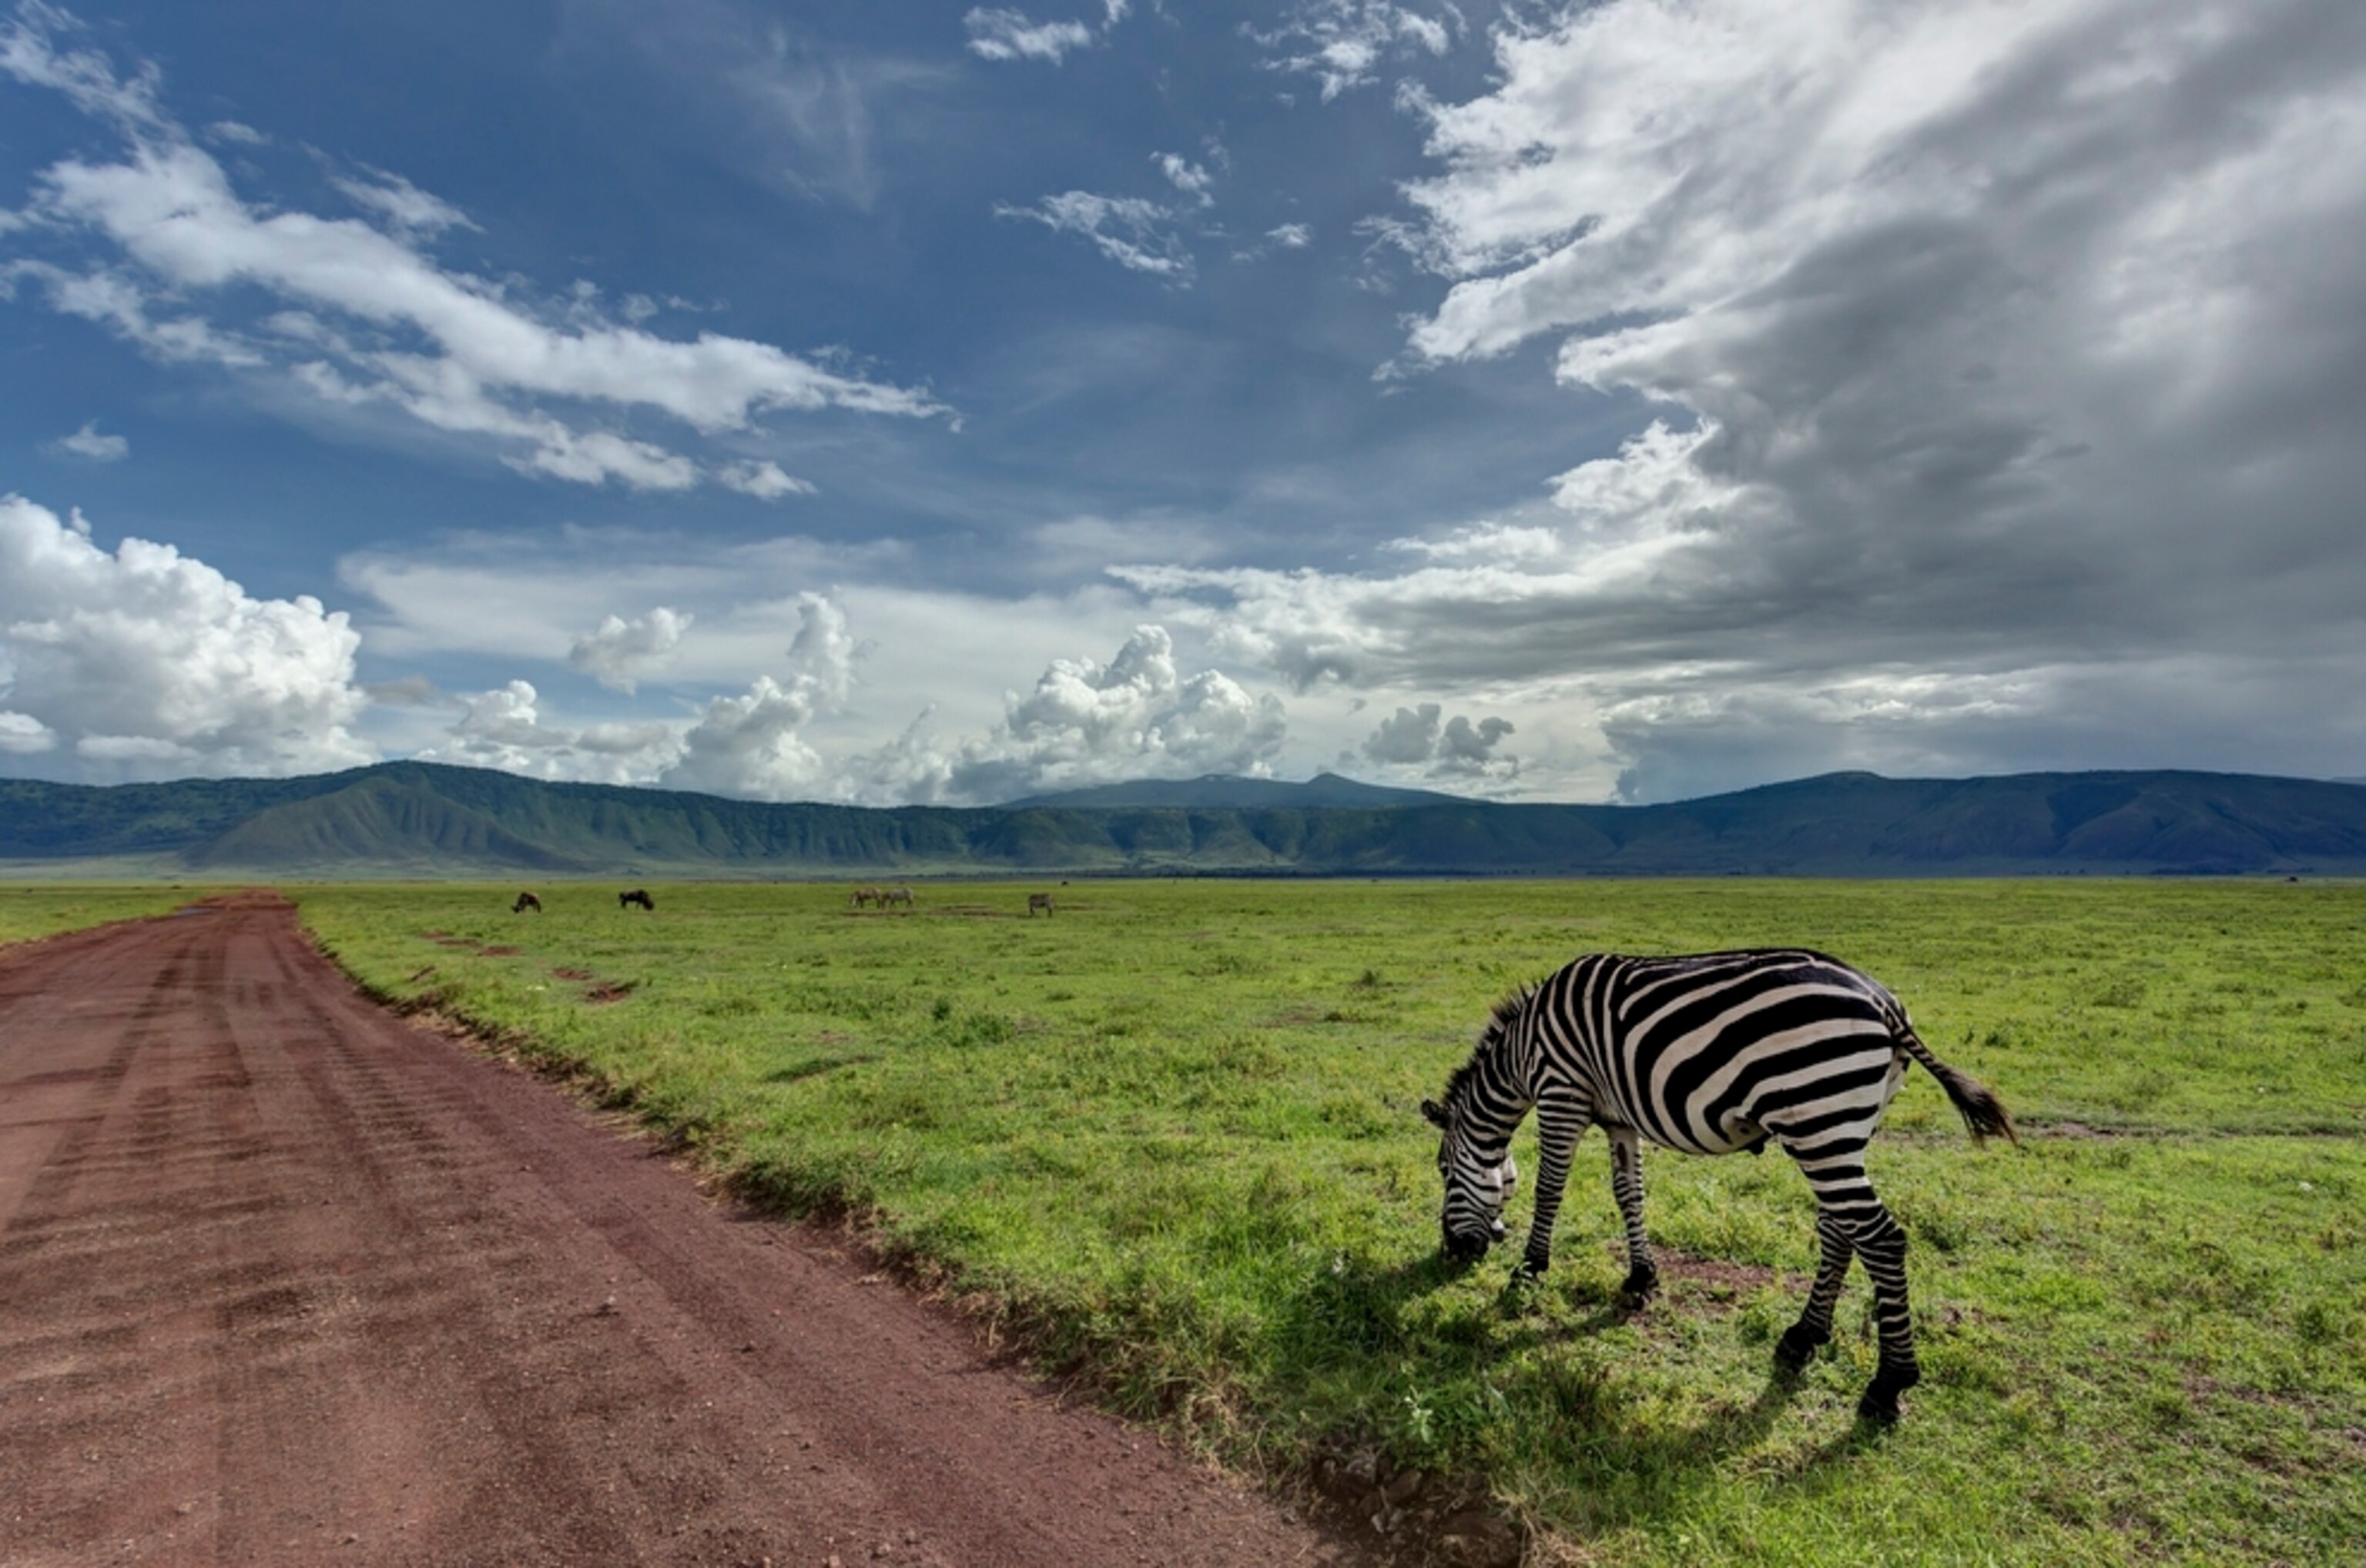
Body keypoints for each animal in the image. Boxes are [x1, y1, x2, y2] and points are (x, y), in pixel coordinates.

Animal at [1422, 948, 2014, 1424]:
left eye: (1444, 1171)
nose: (1451, 1252)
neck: (1523, 1050)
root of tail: (1882, 1000)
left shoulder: (1561, 1093)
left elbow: (1551, 1188)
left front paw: (1529, 1270)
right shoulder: (1618, 1118)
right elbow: (1629, 1194)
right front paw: (1641, 1278)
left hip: (1818, 1121)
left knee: (1882, 1238)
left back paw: (1889, 1383)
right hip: (1842, 1132)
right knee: (1840, 1228)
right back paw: (1804, 1335)